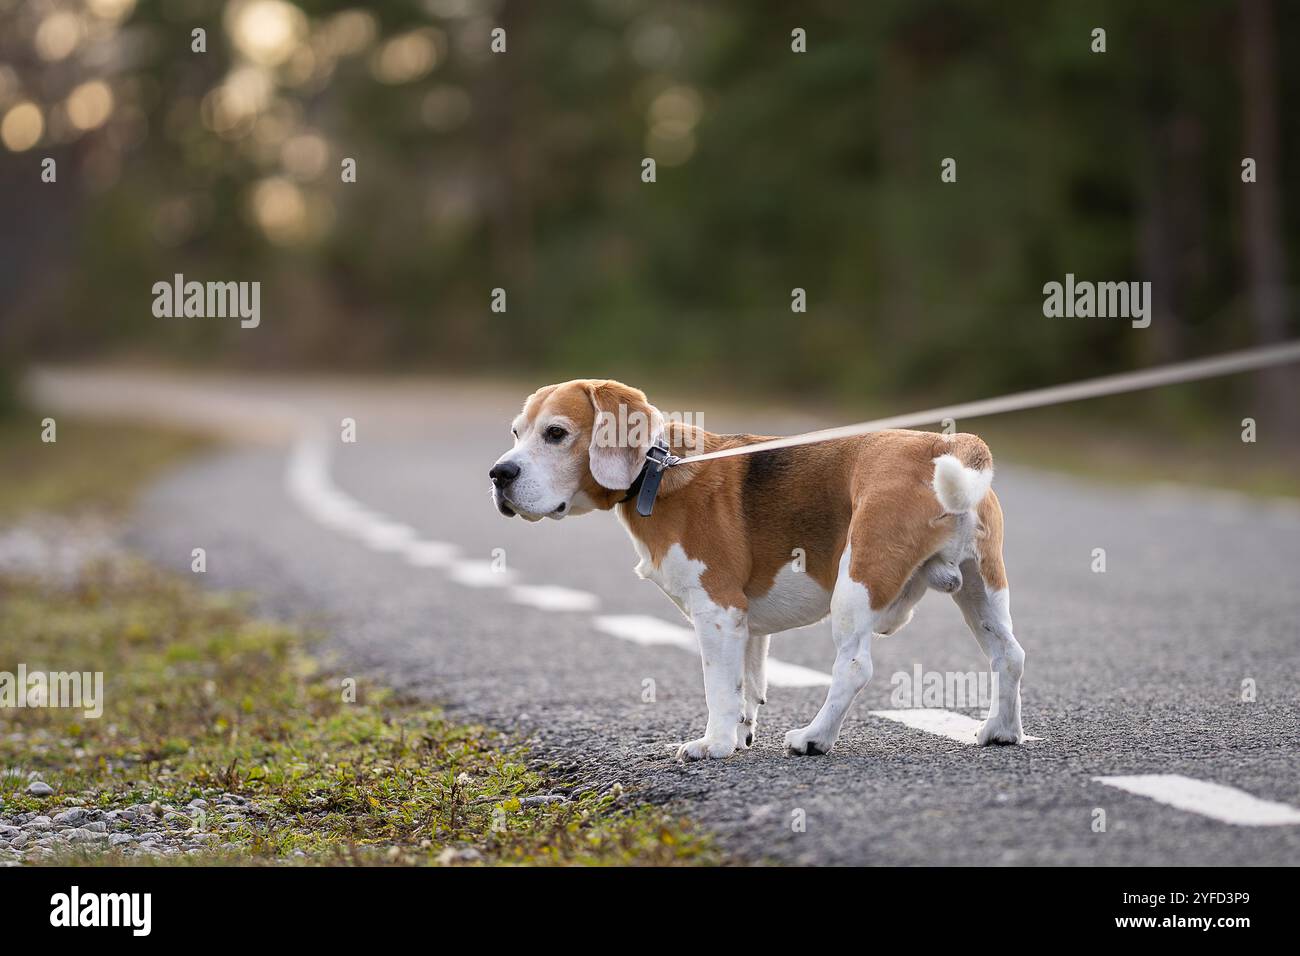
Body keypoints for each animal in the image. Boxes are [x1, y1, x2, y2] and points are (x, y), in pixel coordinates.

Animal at [488, 377, 1024, 759]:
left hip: (856, 584)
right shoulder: (746, 622)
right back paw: (1001, 731)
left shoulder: (717, 611)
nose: (499, 474)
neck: (656, 467)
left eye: (556, 434)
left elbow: (718, 687)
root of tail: (945, 447)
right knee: (1009, 655)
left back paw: (813, 738)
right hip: (982, 587)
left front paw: (714, 745)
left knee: (854, 667)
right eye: (516, 432)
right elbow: (747, 684)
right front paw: (741, 734)